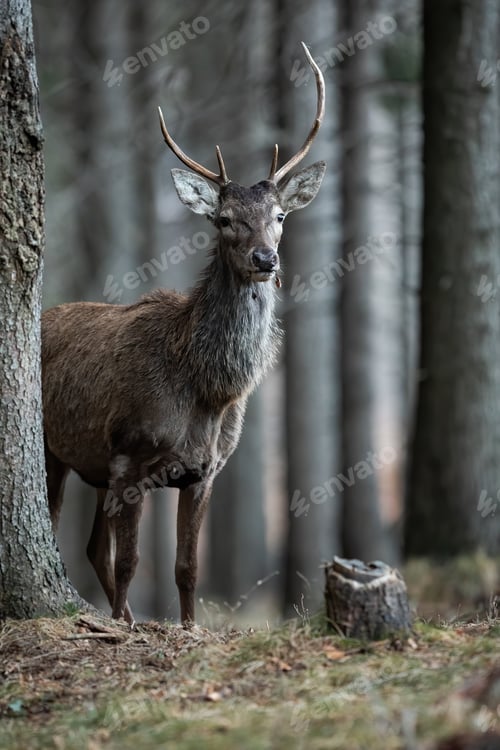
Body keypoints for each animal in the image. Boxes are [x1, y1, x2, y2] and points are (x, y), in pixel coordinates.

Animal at [41, 43, 326, 627]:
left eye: (280, 214)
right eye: (223, 218)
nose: (266, 259)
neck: (208, 390)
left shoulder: (206, 469)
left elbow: (187, 567)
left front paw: (188, 628)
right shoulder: (129, 456)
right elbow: (130, 562)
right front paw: (123, 631)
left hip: (94, 469)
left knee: (90, 548)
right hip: (55, 450)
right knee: (66, 533)